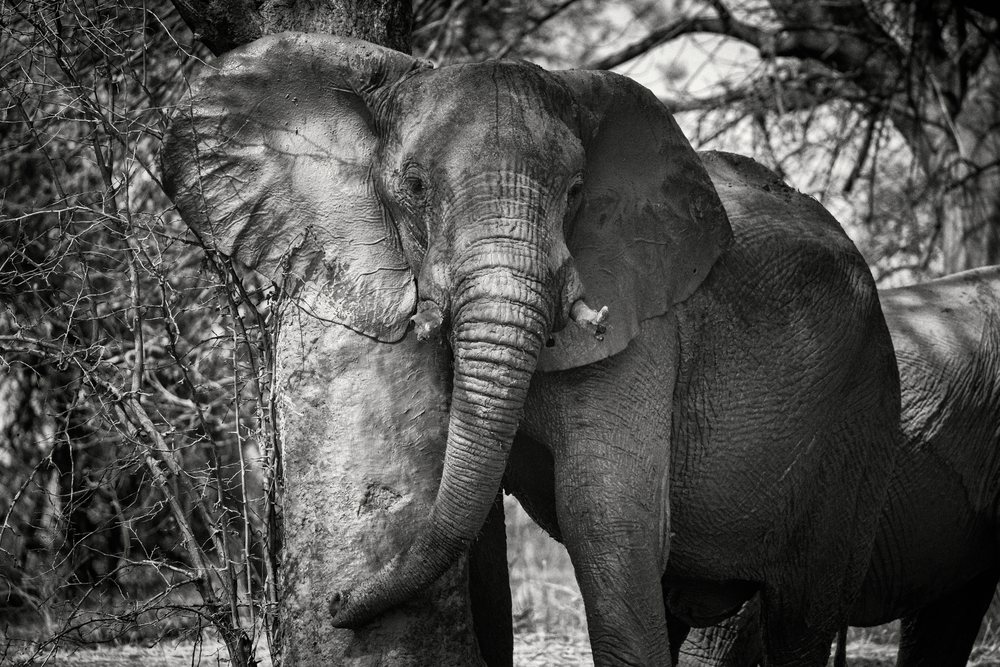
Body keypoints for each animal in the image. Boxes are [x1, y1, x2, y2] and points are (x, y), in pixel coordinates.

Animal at [161, 33, 901, 666]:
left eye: (575, 192)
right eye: (414, 187)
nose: (338, 605)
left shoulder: (645, 329)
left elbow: (606, 516)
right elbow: (480, 531)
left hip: (858, 429)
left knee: (801, 617)